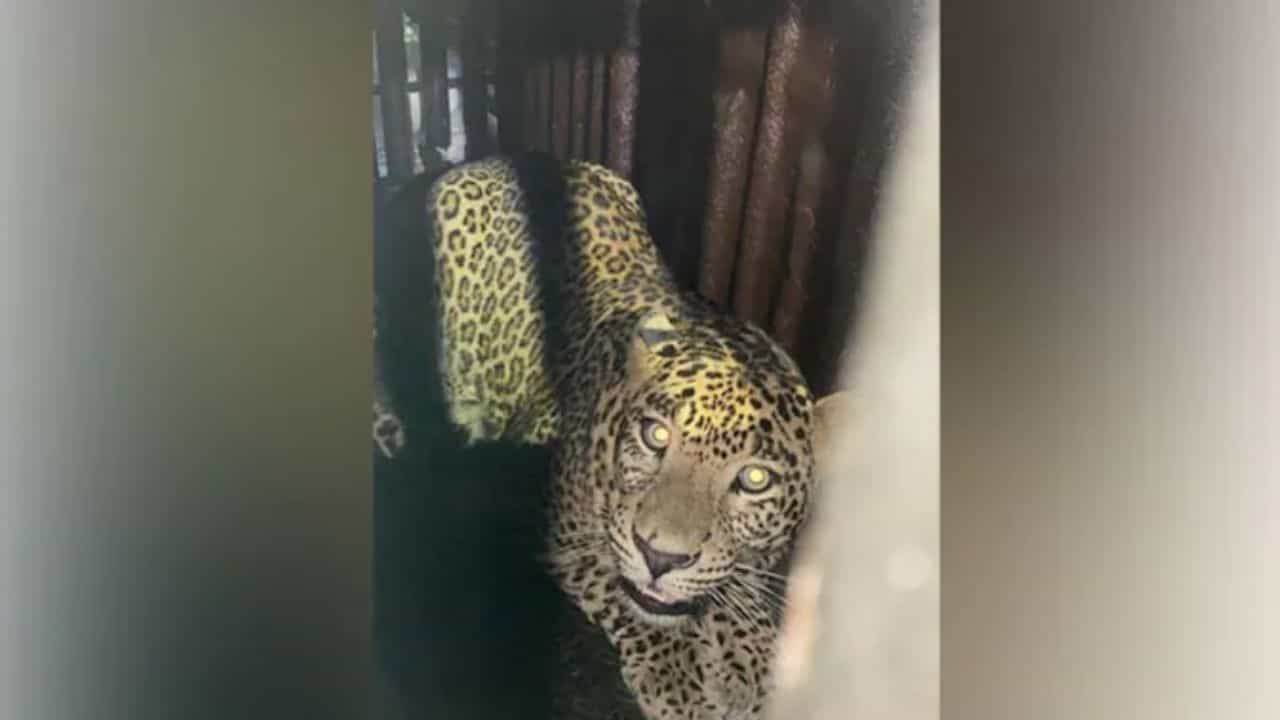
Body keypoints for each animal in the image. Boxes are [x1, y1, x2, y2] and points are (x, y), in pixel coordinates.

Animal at [373, 152, 842, 720]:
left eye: (754, 479)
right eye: (655, 436)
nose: (660, 558)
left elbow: (741, 582)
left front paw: (752, 658)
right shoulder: (559, 537)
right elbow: (621, 591)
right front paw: (677, 675)